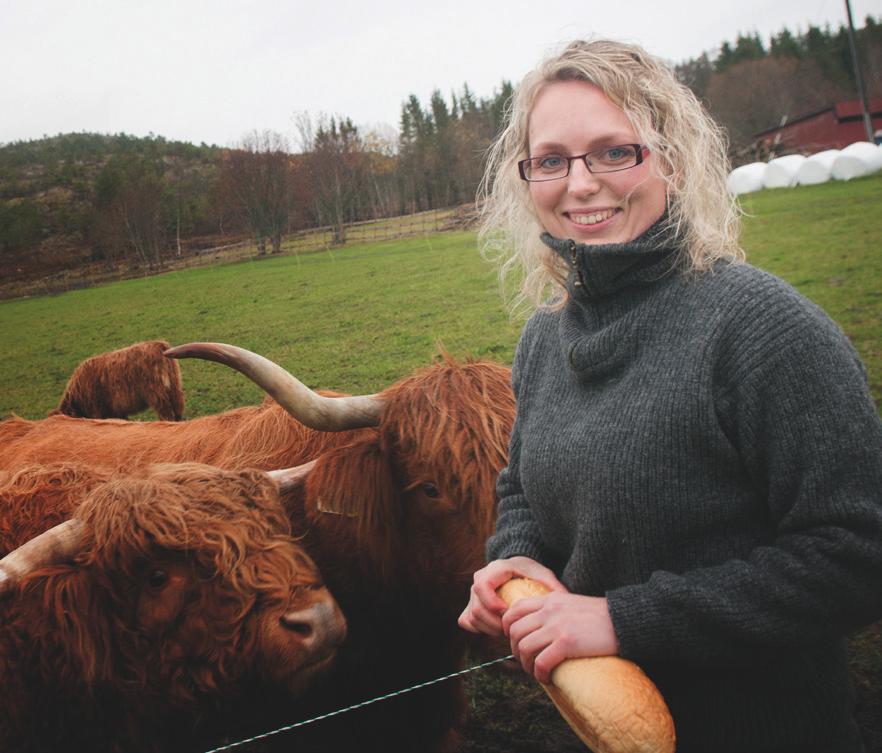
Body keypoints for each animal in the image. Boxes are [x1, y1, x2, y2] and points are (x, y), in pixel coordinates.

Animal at [49, 338, 184, 420]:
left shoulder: (97, 412)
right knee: (178, 413)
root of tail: (160, 345)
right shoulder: (117, 412)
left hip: (158, 395)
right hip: (174, 388)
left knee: (167, 416)